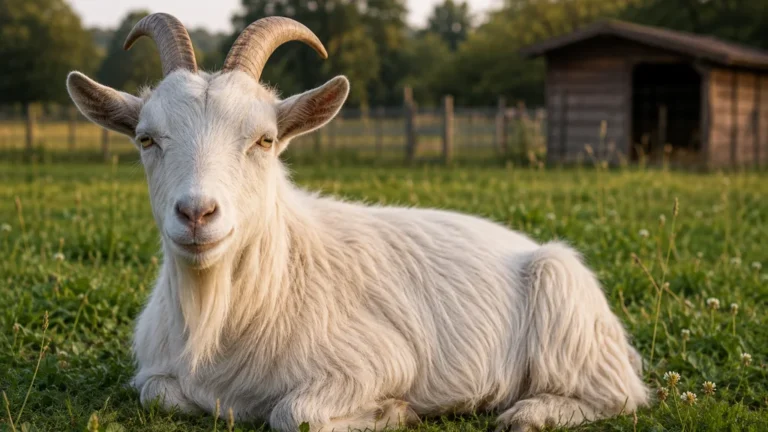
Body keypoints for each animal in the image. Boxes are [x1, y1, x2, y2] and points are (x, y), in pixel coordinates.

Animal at [66, 13, 648, 431]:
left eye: (265, 140)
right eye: (146, 139)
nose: (196, 213)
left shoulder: (379, 358)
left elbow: (292, 413)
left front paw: (393, 411)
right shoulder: (157, 372)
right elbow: (156, 394)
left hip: (563, 293)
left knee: (621, 395)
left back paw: (527, 413)